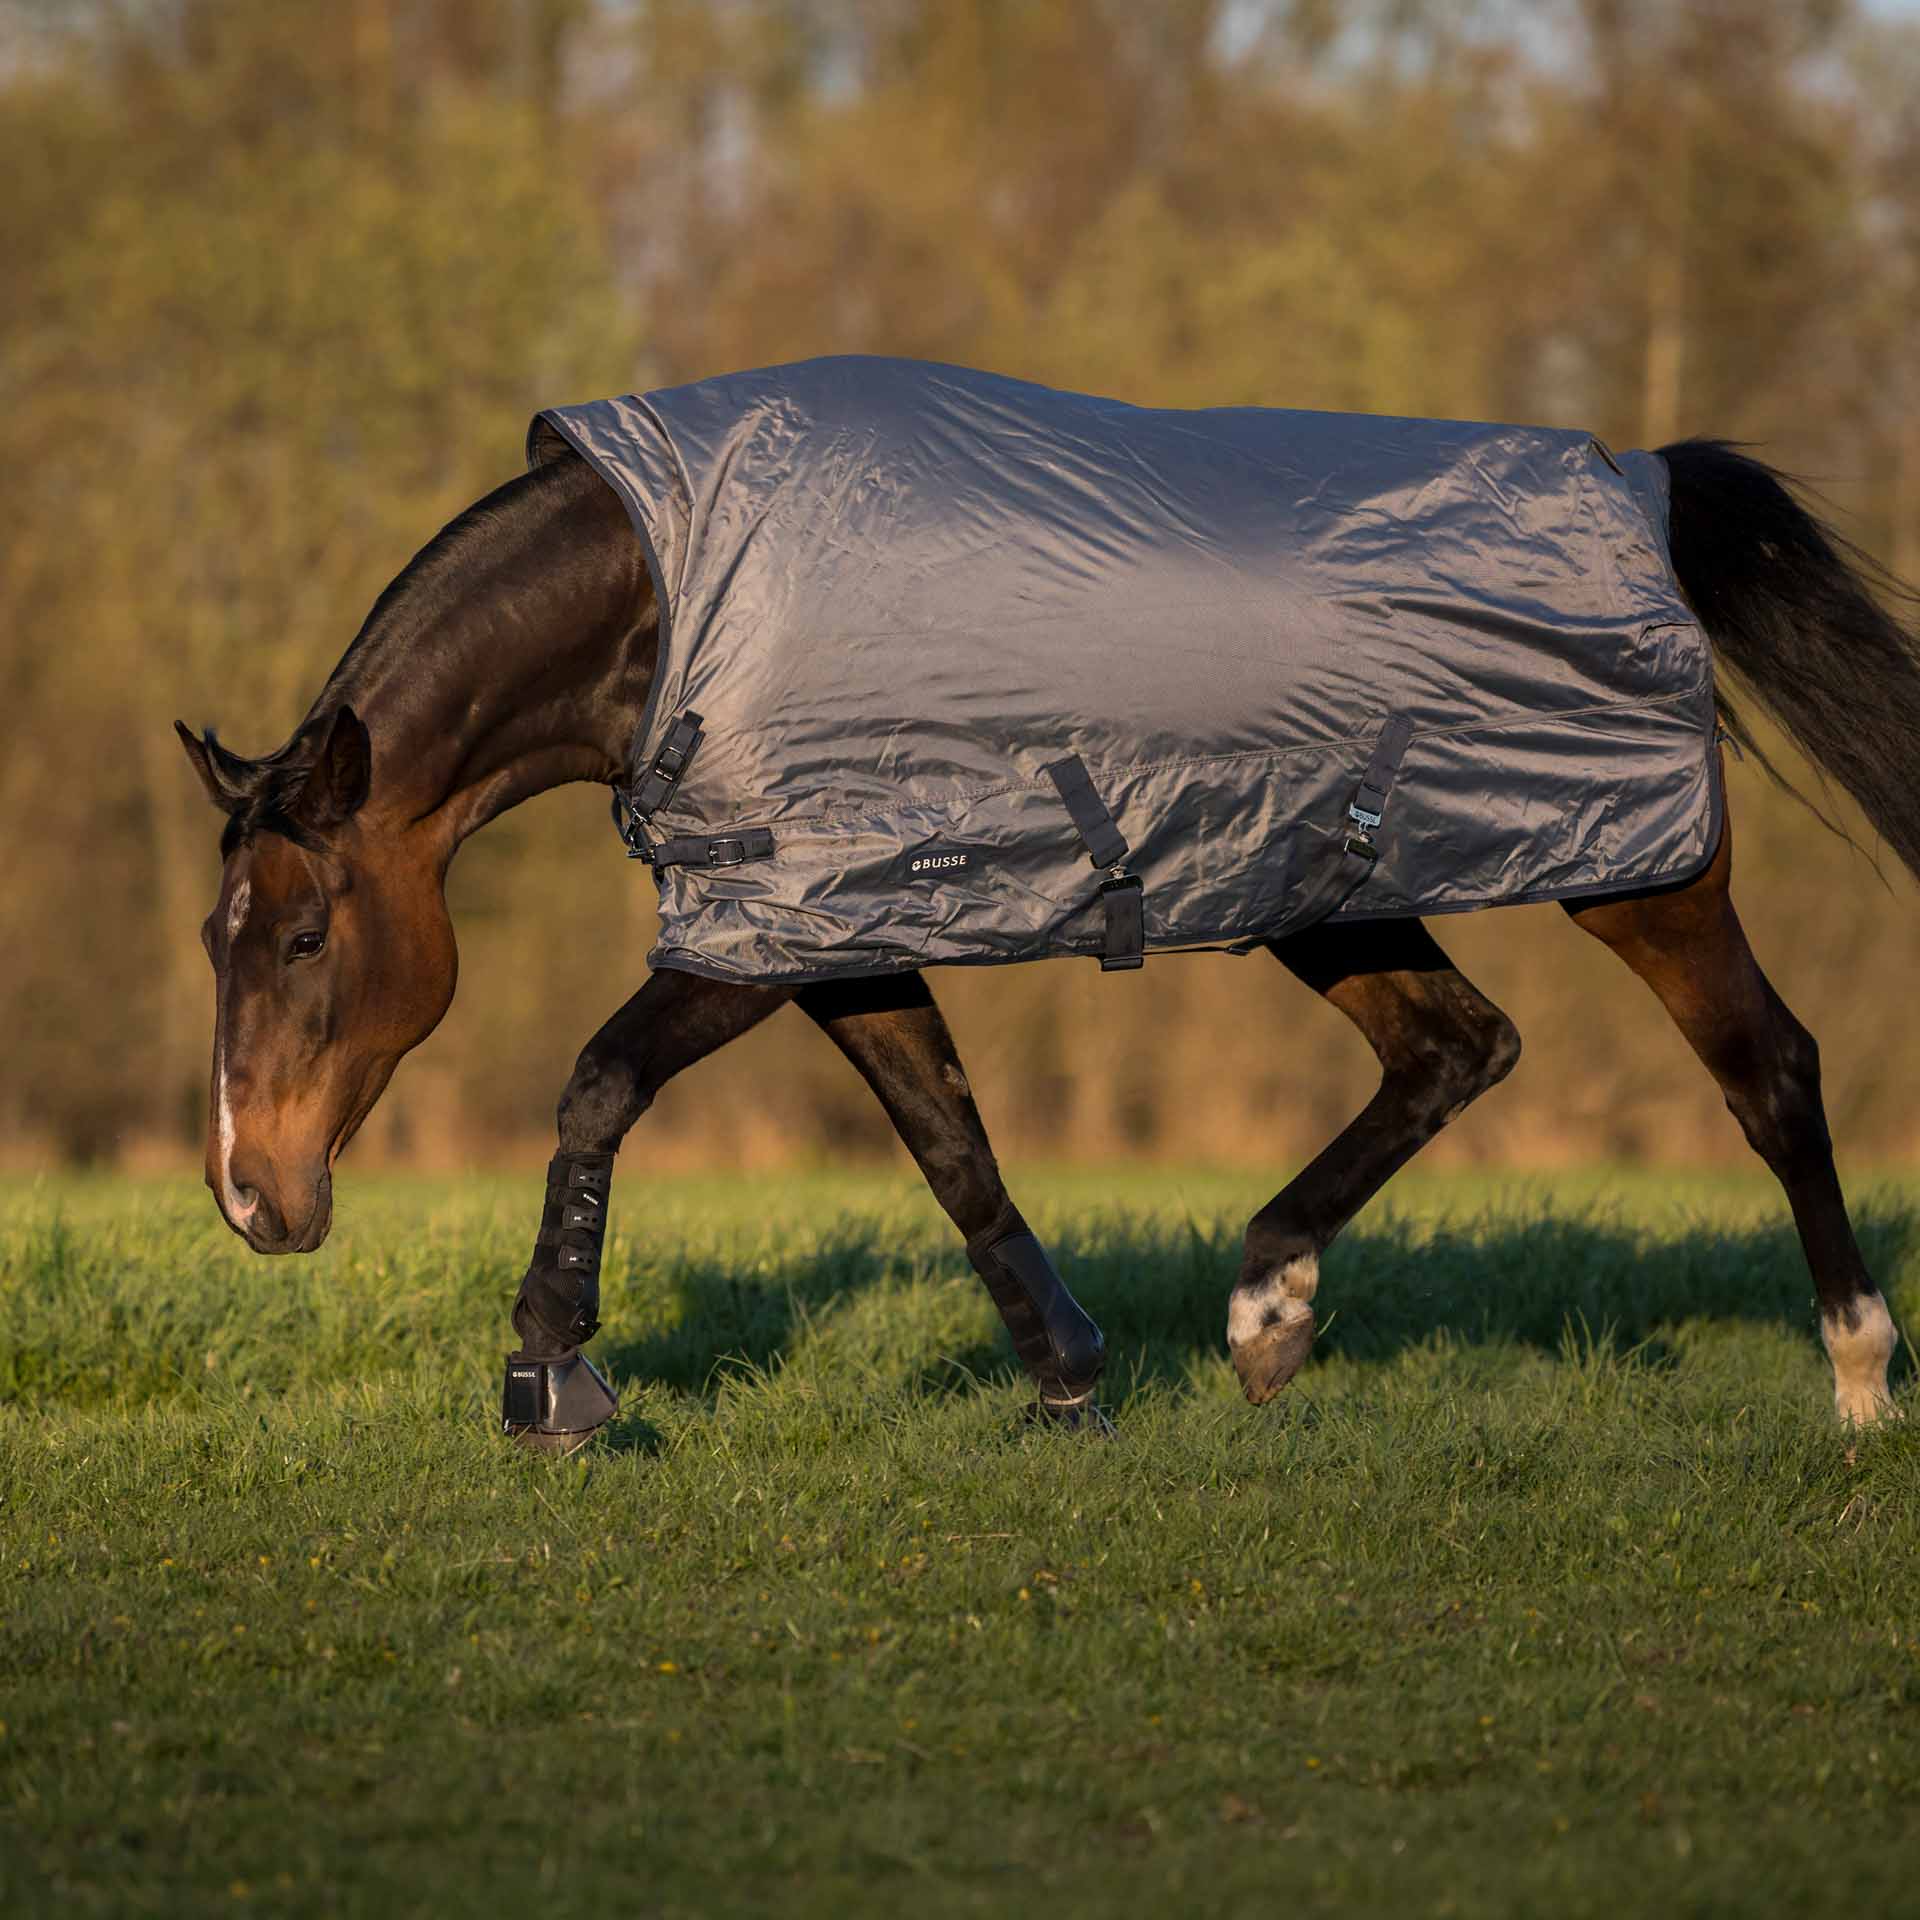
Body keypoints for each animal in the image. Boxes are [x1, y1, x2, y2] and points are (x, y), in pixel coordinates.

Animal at [172, 382, 1912, 1443]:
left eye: (306, 937)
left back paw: (1857, 1379)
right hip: (1327, 885)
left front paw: (551, 1371)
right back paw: (1266, 1311)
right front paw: (1070, 1379)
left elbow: (600, 1082)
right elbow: (952, 1146)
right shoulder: (831, 922)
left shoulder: (765, 924)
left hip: (1640, 871)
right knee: (1455, 1047)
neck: (685, 599)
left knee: (1771, 1071)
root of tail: (1642, 484)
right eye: (214, 941)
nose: (253, 1198)